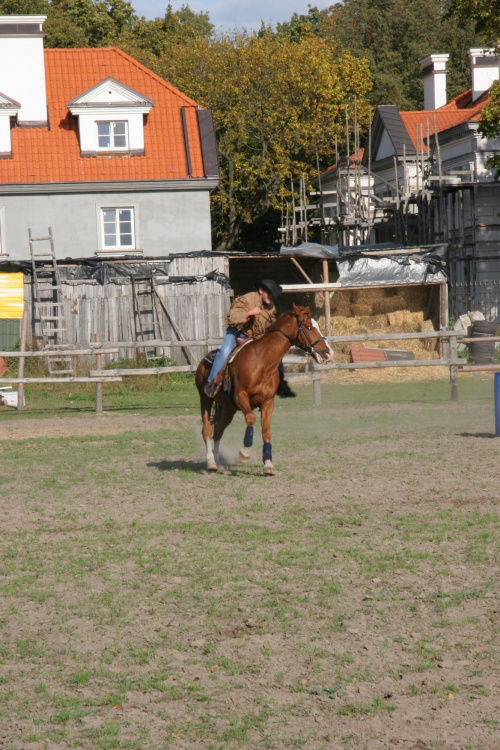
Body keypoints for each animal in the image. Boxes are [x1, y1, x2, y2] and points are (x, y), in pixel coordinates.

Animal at [194, 304, 332, 476]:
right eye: (308, 327)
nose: (328, 352)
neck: (261, 361)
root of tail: (203, 361)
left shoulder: (268, 402)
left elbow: (266, 431)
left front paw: (268, 465)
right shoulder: (240, 396)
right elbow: (251, 419)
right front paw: (245, 453)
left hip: (228, 408)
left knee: (218, 432)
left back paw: (219, 463)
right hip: (205, 399)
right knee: (206, 430)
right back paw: (211, 462)